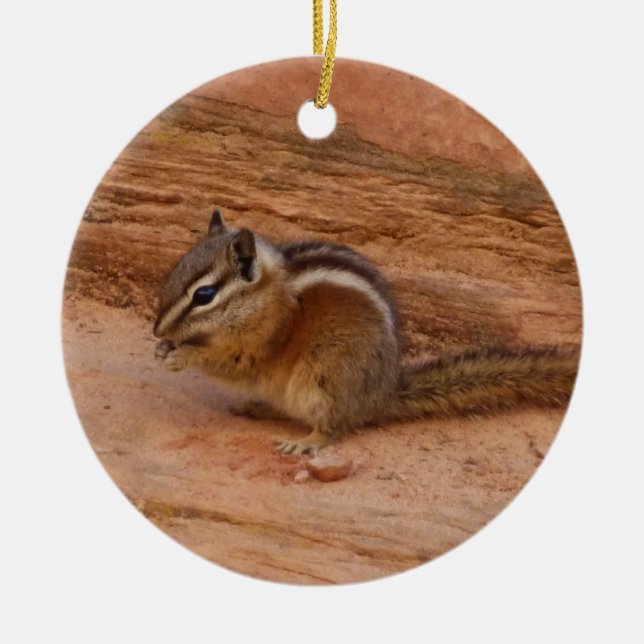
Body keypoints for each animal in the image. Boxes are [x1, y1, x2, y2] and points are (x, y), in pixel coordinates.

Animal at [153, 209, 579, 455]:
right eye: (174, 271)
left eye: (204, 295)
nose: (156, 328)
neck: (265, 296)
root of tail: (381, 394)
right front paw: (163, 348)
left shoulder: (265, 341)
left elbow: (236, 364)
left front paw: (182, 354)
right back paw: (256, 407)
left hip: (324, 376)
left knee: (335, 426)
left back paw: (304, 442)